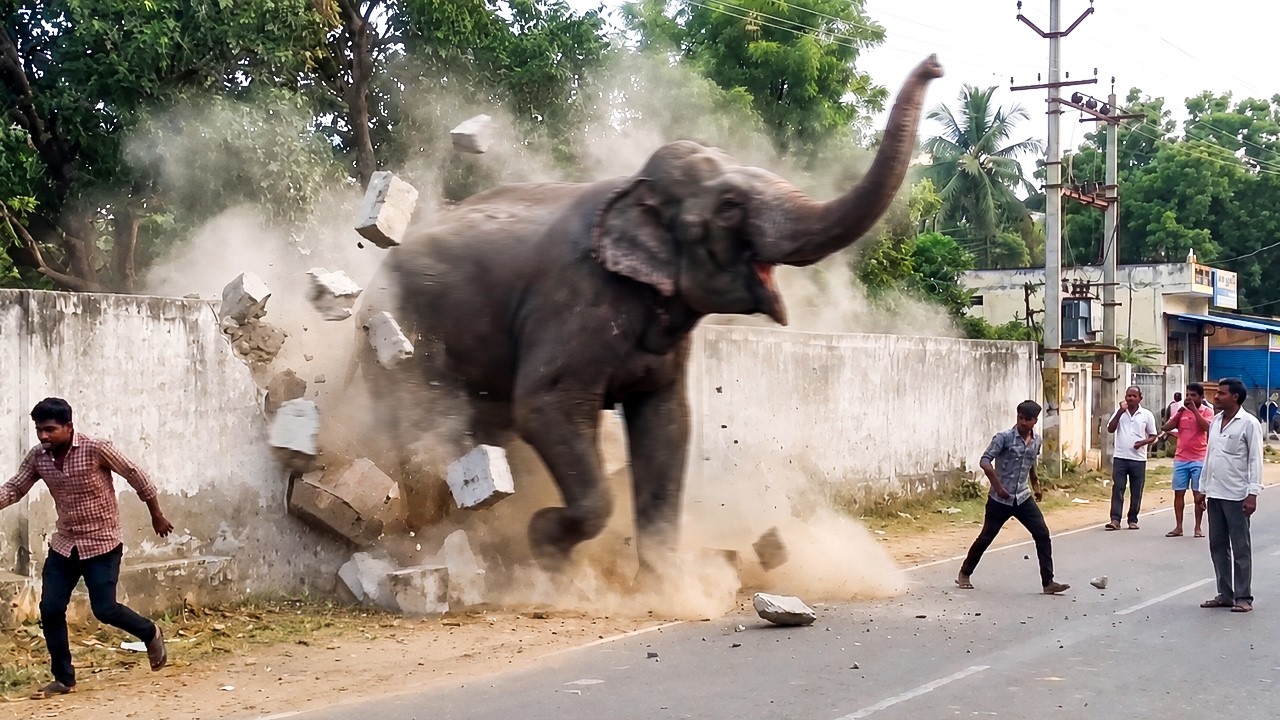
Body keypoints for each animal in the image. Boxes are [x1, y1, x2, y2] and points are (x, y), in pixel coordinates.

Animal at [358, 55, 944, 576]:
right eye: (729, 207)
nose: (936, 65)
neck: (633, 191)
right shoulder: (576, 297)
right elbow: (546, 404)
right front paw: (545, 543)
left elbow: (668, 422)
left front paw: (666, 587)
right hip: (397, 338)